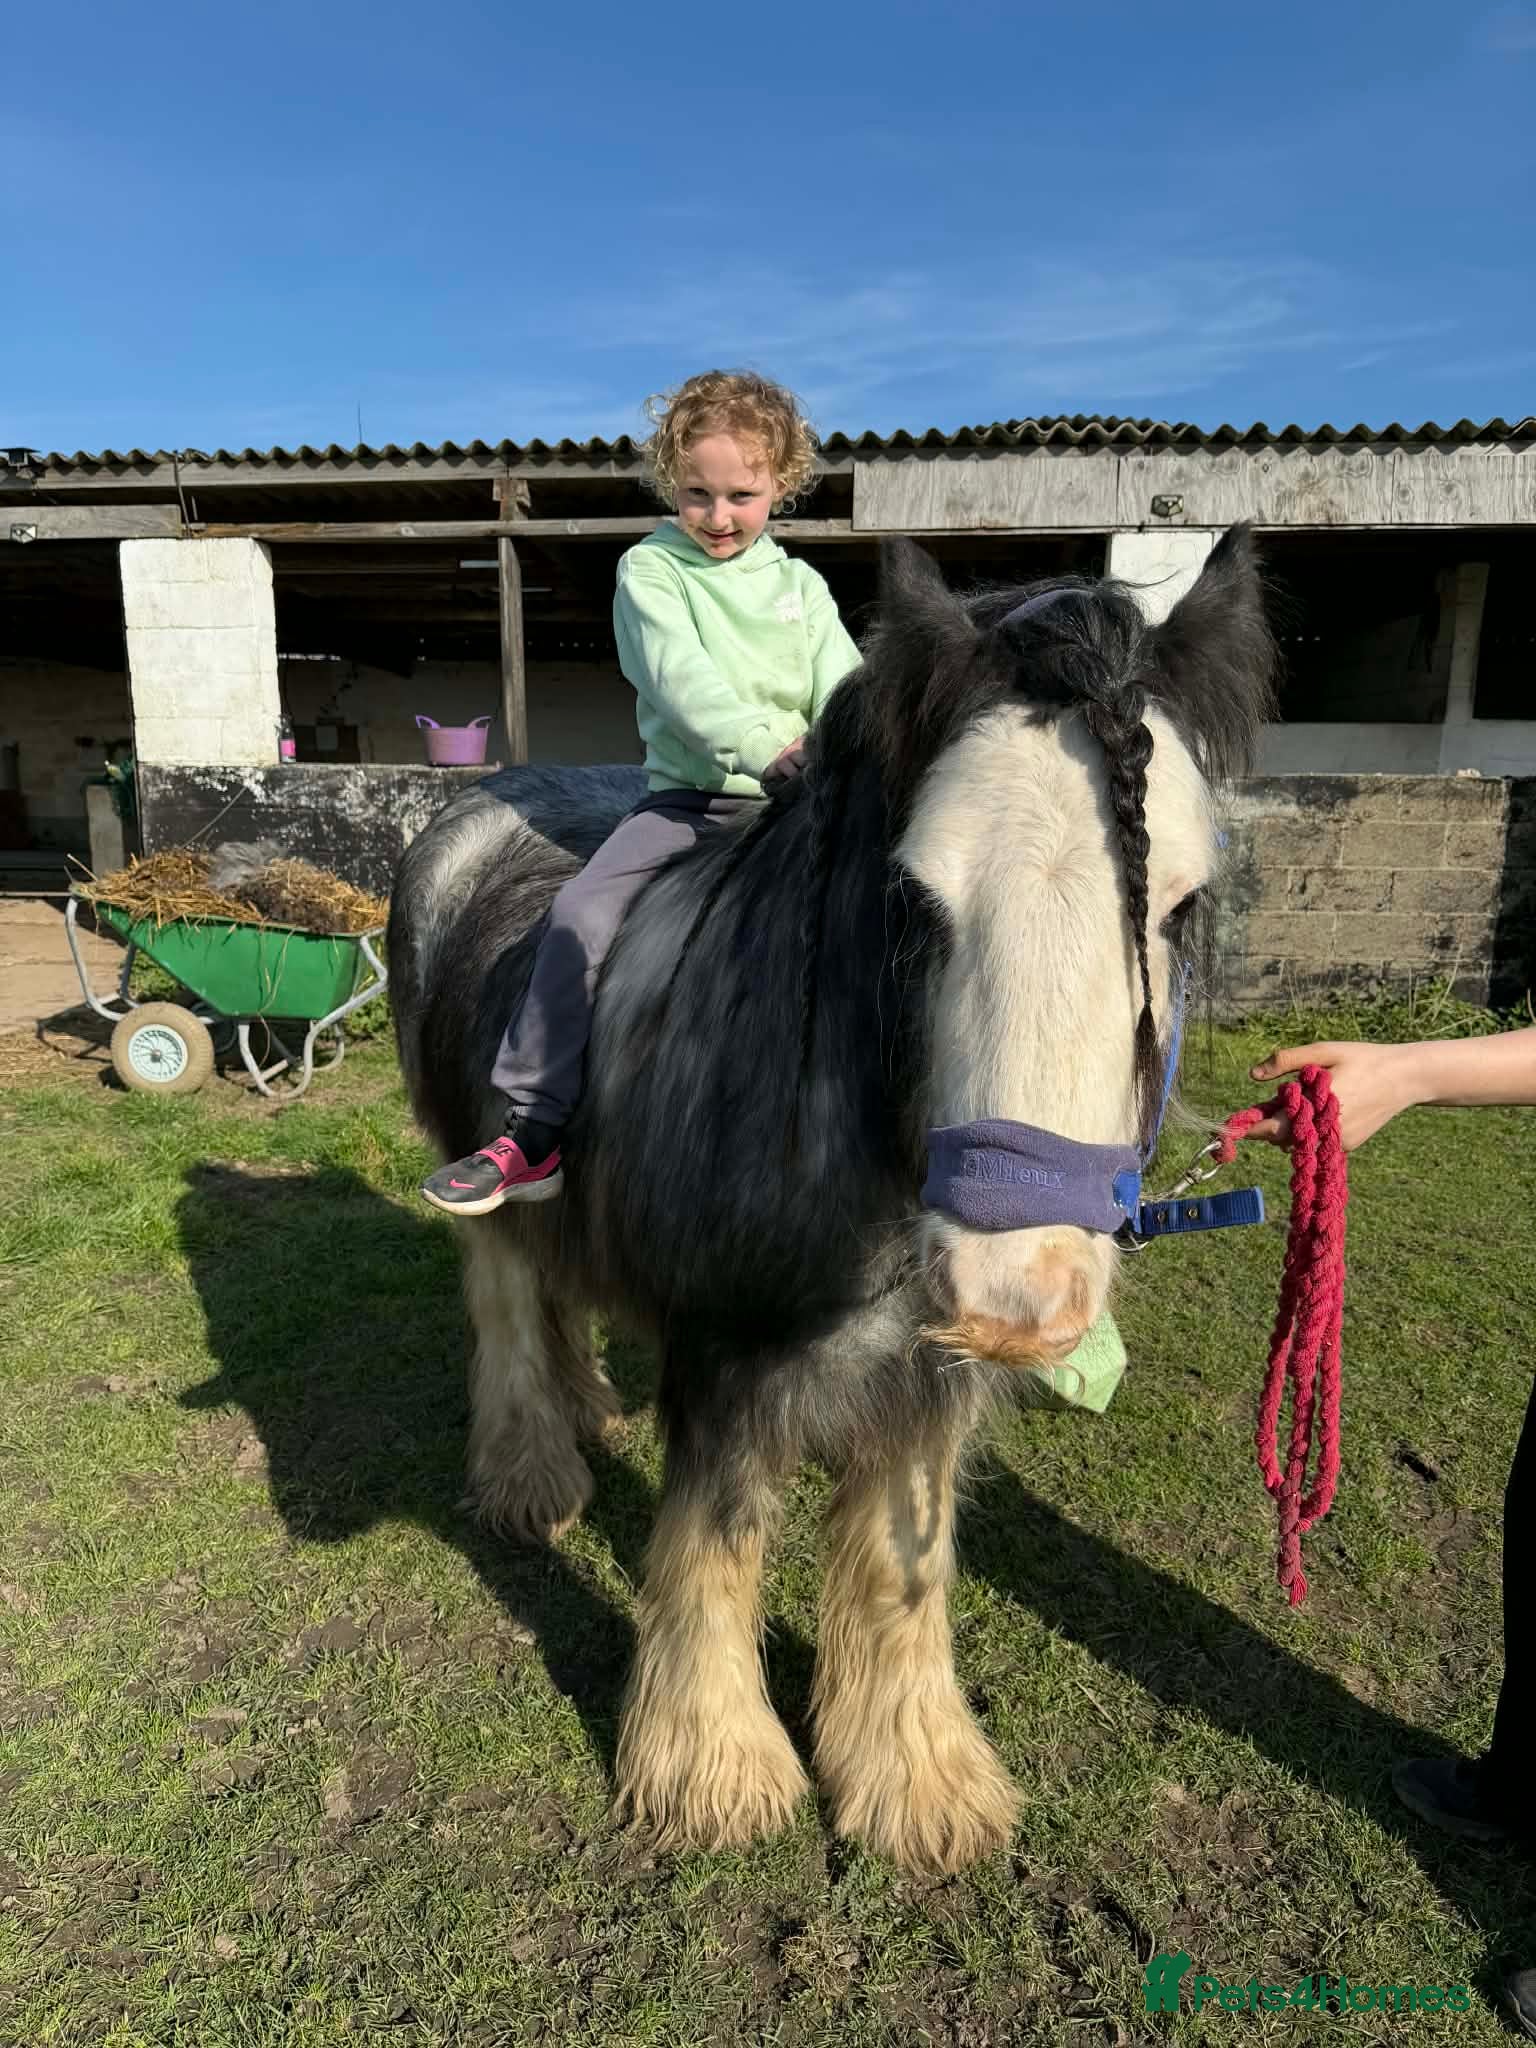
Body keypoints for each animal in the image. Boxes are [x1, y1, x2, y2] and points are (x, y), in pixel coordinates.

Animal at [387, 528, 1276, 1874]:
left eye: (1179, 905)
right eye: (919, 900)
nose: (1023, 1299)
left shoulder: (925, 1375)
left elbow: (900, 1573)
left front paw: (919, 1779)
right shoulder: (722, 1353)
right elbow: (713, 1545)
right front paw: (712, 1770)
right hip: (469, 1152)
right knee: (503, 1296)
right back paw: (533, 1475)